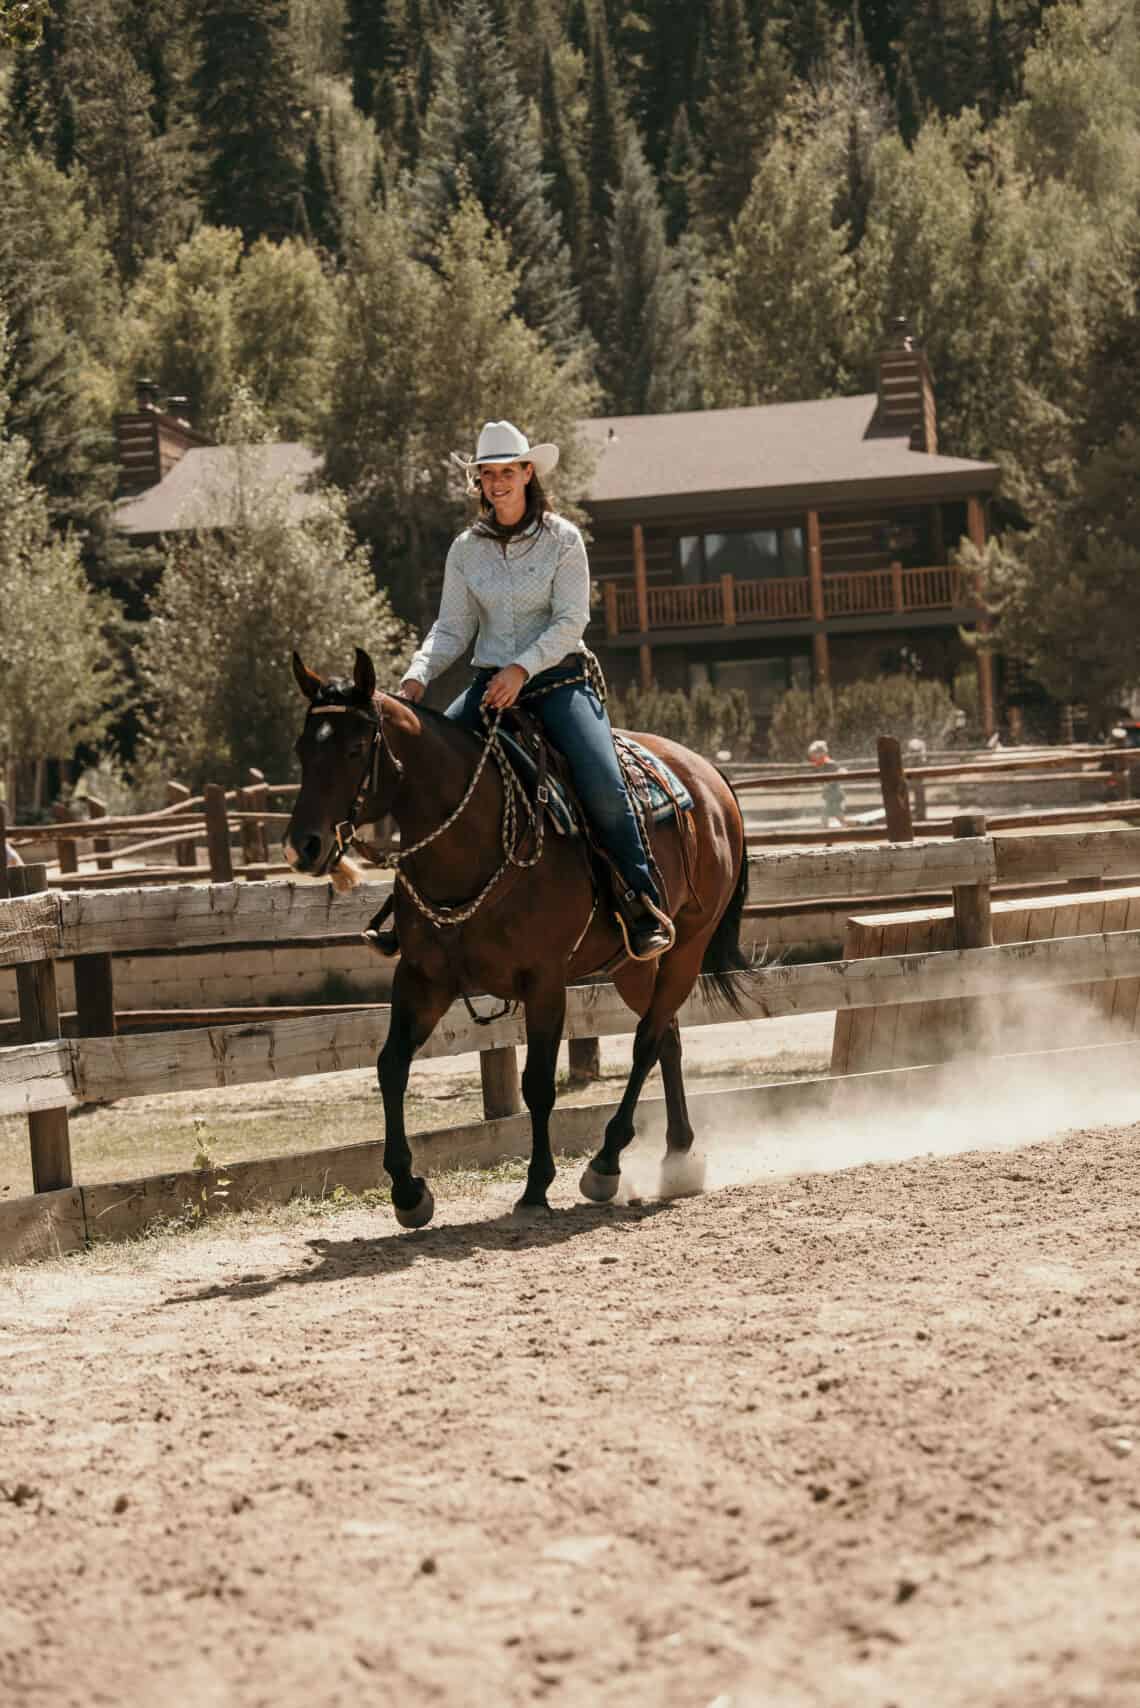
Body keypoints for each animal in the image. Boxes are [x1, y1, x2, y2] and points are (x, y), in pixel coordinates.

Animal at [283, 645, 748, 1222]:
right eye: (303, 749)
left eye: (353, 749)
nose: (303, 845)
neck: (472, 842)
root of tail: (708, 775)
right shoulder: (422, 977)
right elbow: (391, 1066)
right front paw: (408, 1190)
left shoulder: (544, 981)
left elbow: (538, 1084)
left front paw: (536, 1186)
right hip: (632, 966)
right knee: (668, 1038)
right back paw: (678, 1154)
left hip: (687, 946)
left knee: (646, 1042)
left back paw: (606, 1164)